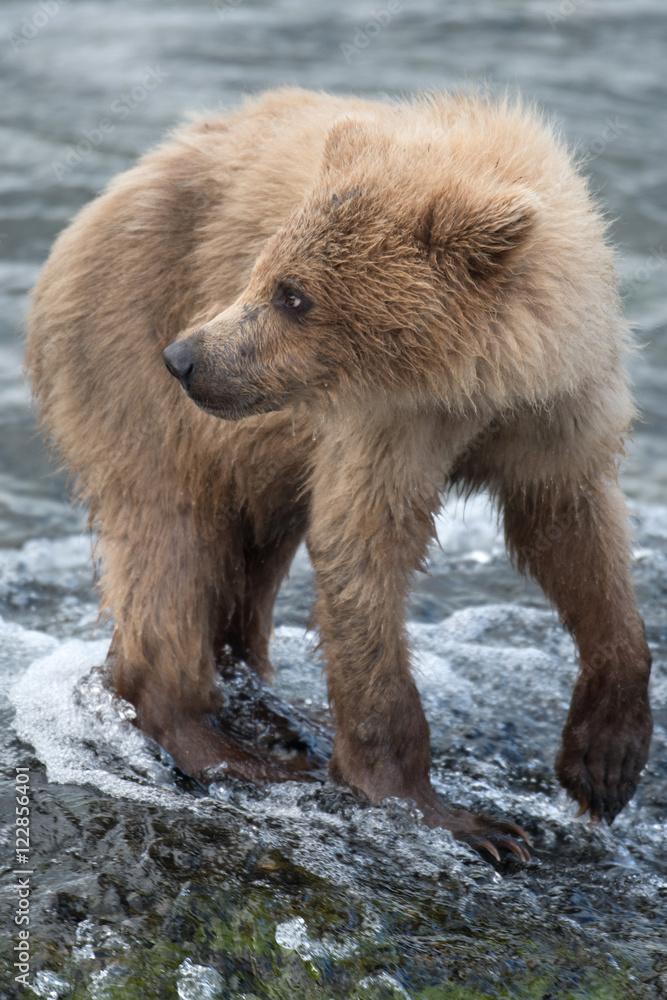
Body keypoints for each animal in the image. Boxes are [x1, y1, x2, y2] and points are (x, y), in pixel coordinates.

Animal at [26, 87, 653, 862]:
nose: (185, 358)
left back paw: (263, 709)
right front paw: (458, 817)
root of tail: (99, 204)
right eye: (262, 272)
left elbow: (574, 540)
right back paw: (231, 750)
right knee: (170, 539)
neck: (478, 384)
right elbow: (363, 553)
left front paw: (604, 763)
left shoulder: (556, 415)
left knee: (249, 551)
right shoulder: (386, 424)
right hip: (129, 348)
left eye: (293, 295)